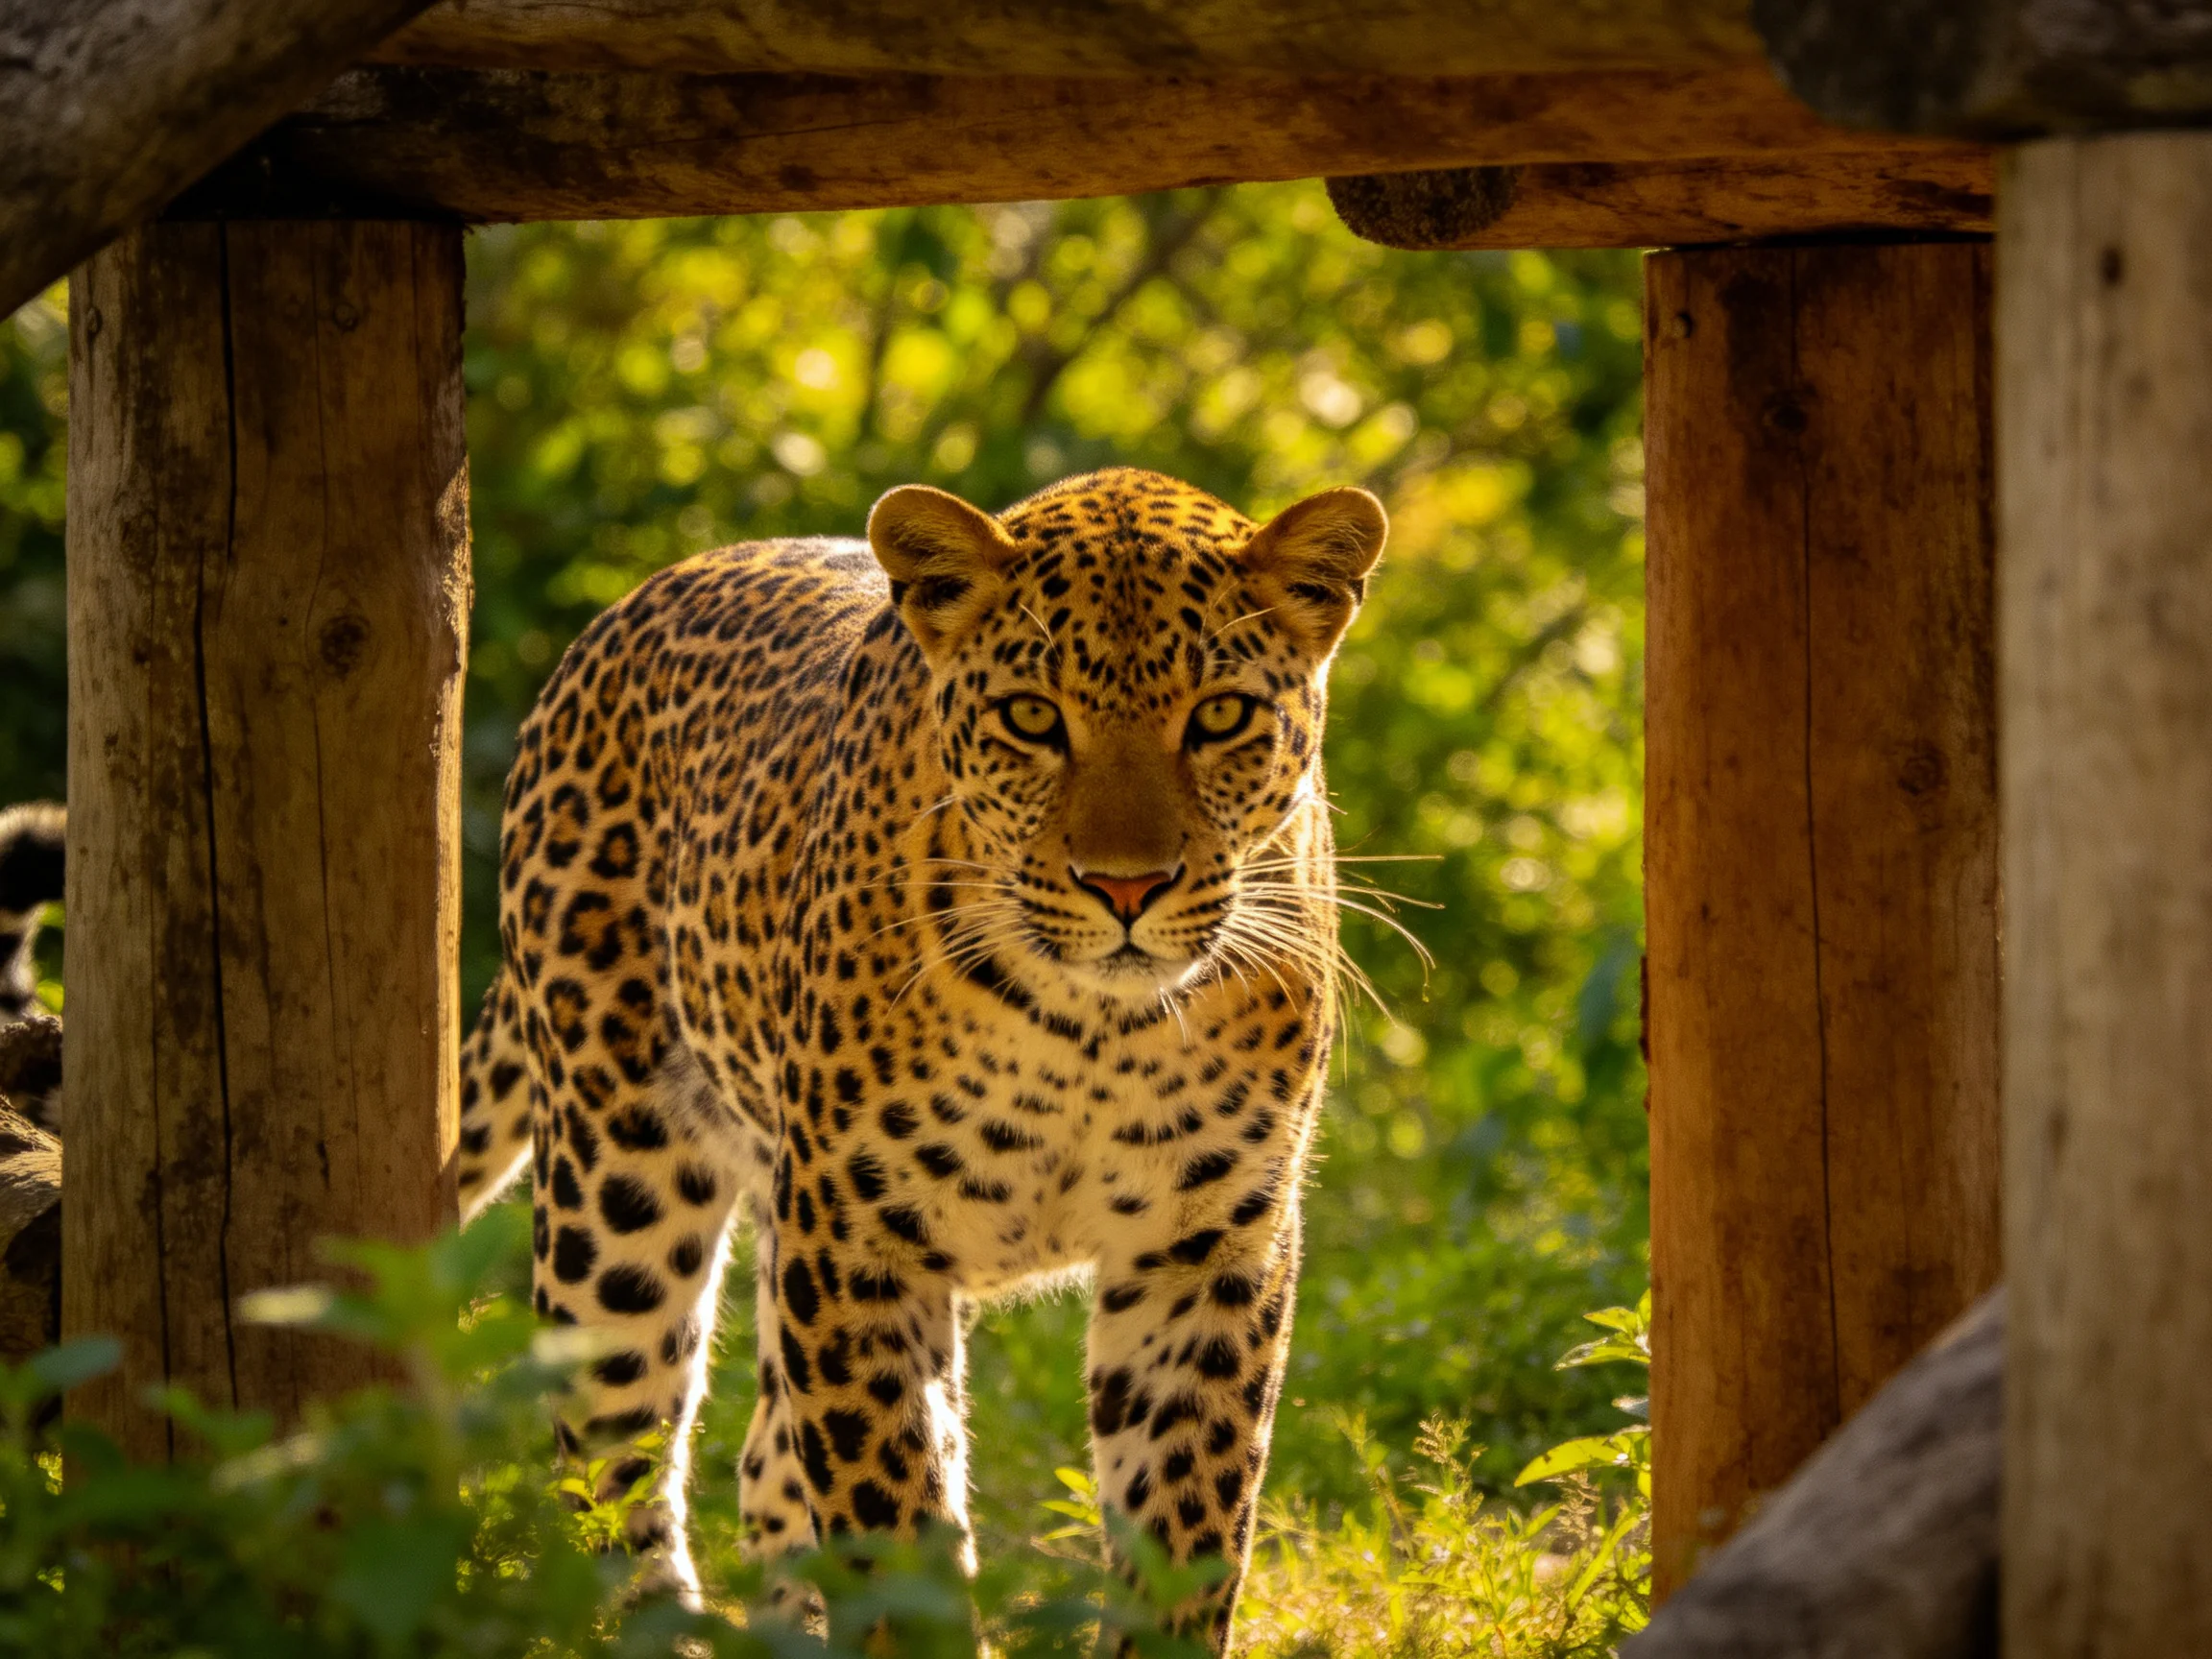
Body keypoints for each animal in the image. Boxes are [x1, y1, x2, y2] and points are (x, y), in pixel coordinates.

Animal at [454, 466, 1386, 1649]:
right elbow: (893, 1532)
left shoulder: (1211, 1247)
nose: (1126, 887)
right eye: (1032, 718)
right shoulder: (859, 1241)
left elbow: (1183, 1532)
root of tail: (620, 614)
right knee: (610, 1467)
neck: (1096, 1031)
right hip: (619, 1181)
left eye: (1221, 715)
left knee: (761, 1463)